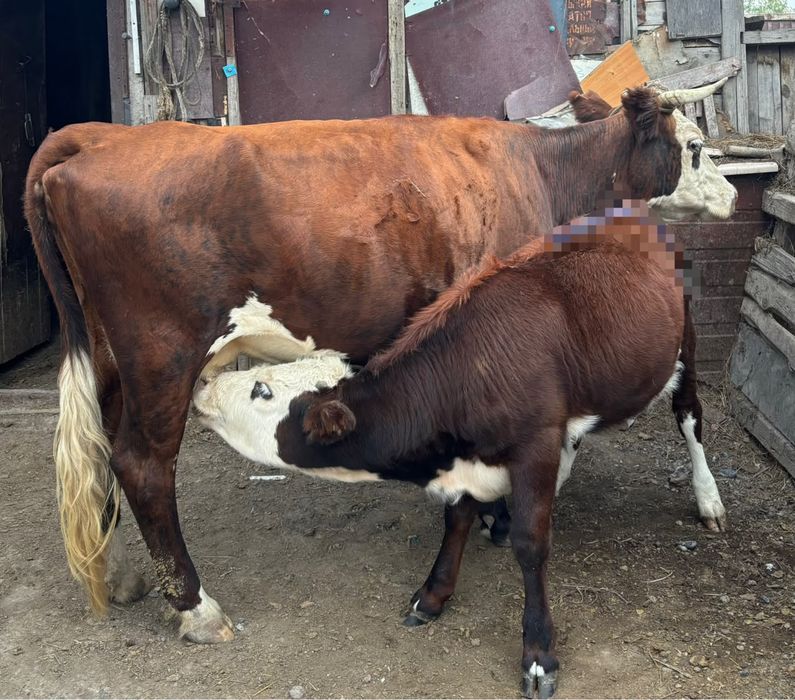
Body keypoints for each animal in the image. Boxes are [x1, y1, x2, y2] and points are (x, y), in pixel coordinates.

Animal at [25, 85, 719, 643]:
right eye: (697, 146)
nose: (733, 195)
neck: (543, 171)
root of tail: (107, 137)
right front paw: (493, 522)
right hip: (162, 353)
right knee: (142, 466)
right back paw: (196, 609)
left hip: (114, 357)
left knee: (101, 450)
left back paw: (120, 575)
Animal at [193, 202, 727, 698]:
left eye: (261, 389)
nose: (203, 386)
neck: (467, 371)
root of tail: (635, 210)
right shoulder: (471, 454)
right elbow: (457, 519)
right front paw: (433, 595)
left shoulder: (534, 441)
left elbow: (531, 545)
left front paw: (539, 654)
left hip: (685, 342)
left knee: (690, 415)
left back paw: (708, 499)